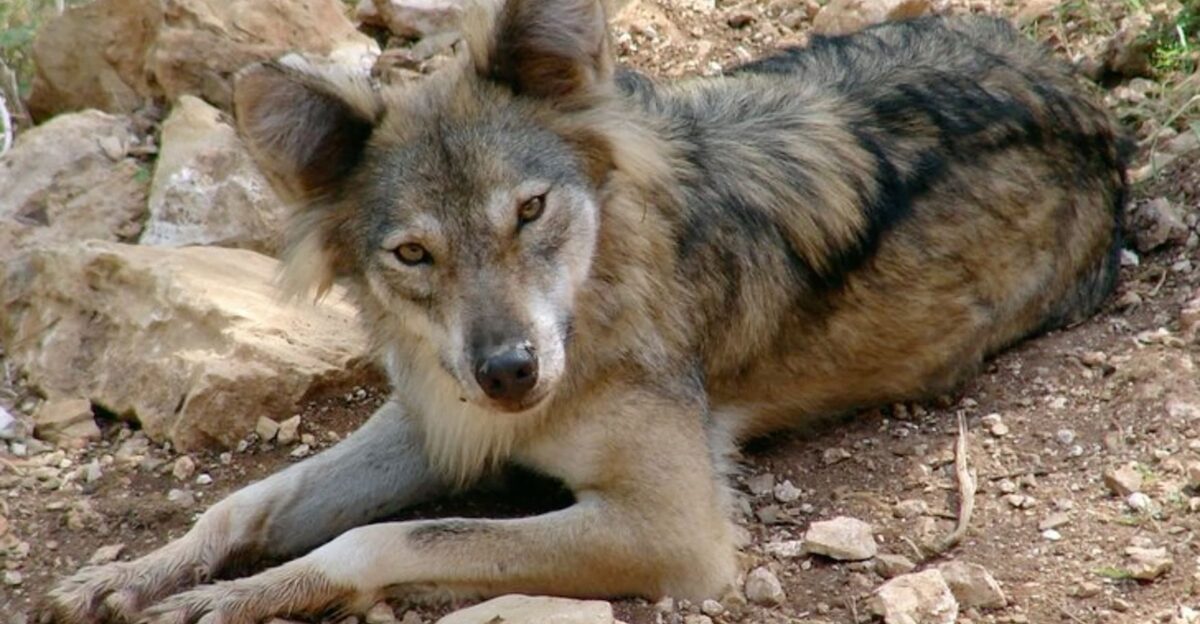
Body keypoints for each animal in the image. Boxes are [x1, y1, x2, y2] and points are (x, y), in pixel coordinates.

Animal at [45, 0, 1128, 621]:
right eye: (413, 254)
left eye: (530, 210)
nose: (509, 373)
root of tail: (1070, 81)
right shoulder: (438, 421)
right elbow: (247, 501)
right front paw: (134, 574)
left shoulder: (673, 530)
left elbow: (390, 538)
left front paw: (243, 598)